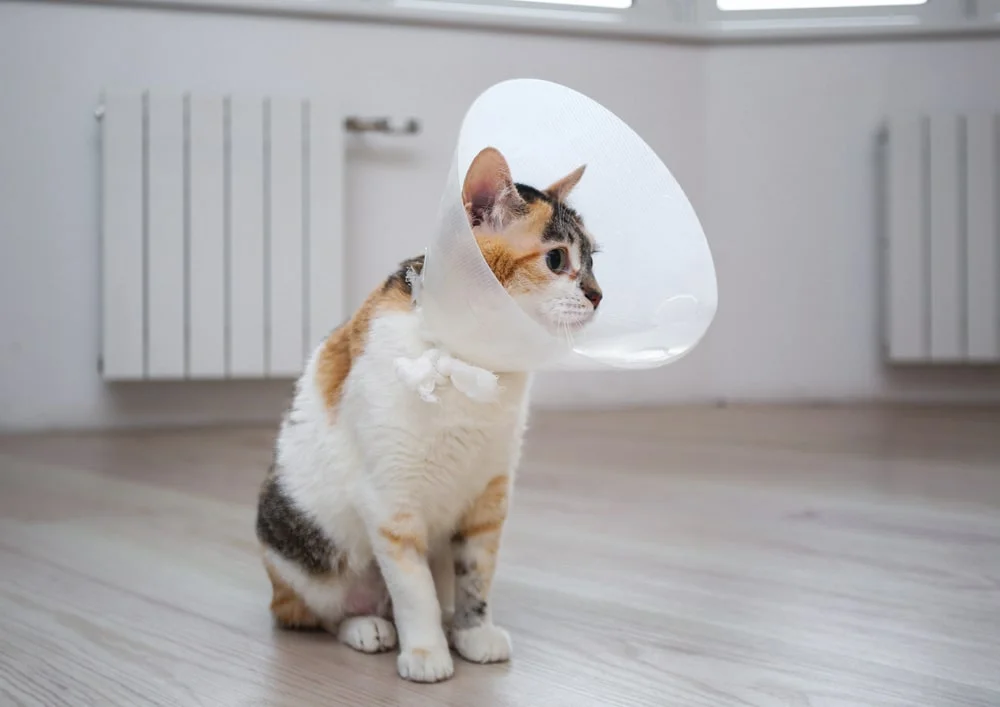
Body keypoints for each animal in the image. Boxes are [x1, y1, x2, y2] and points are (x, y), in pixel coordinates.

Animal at [256, 147, 600, 684]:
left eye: (594, 260)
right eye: (557, 259)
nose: (598, 295)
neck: (470, 361)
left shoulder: (489, 496)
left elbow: (477, 576)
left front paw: (474, 633)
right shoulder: (390, 502)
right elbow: (413, 588)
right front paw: (425, 652)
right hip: (303, 552)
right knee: (309, 612)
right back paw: (367, 627)